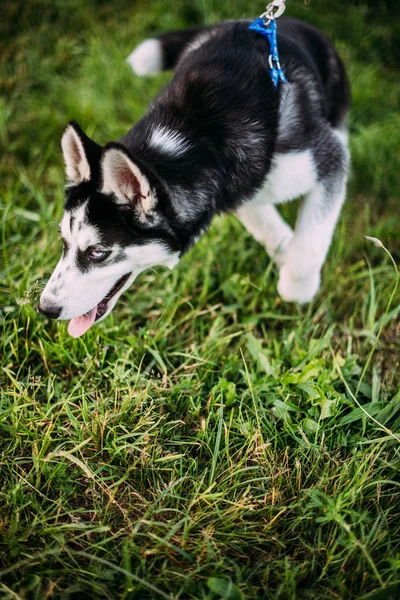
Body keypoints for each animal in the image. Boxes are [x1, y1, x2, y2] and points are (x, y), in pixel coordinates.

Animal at [38, 17, 350, 338]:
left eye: (98, 252)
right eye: (64, 243)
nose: (45, 309)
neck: (199, 138)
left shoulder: (325, 159)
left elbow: (308, 246)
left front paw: (297, 288)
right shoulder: (233, 189)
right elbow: (261, 219)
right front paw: (285, 246)